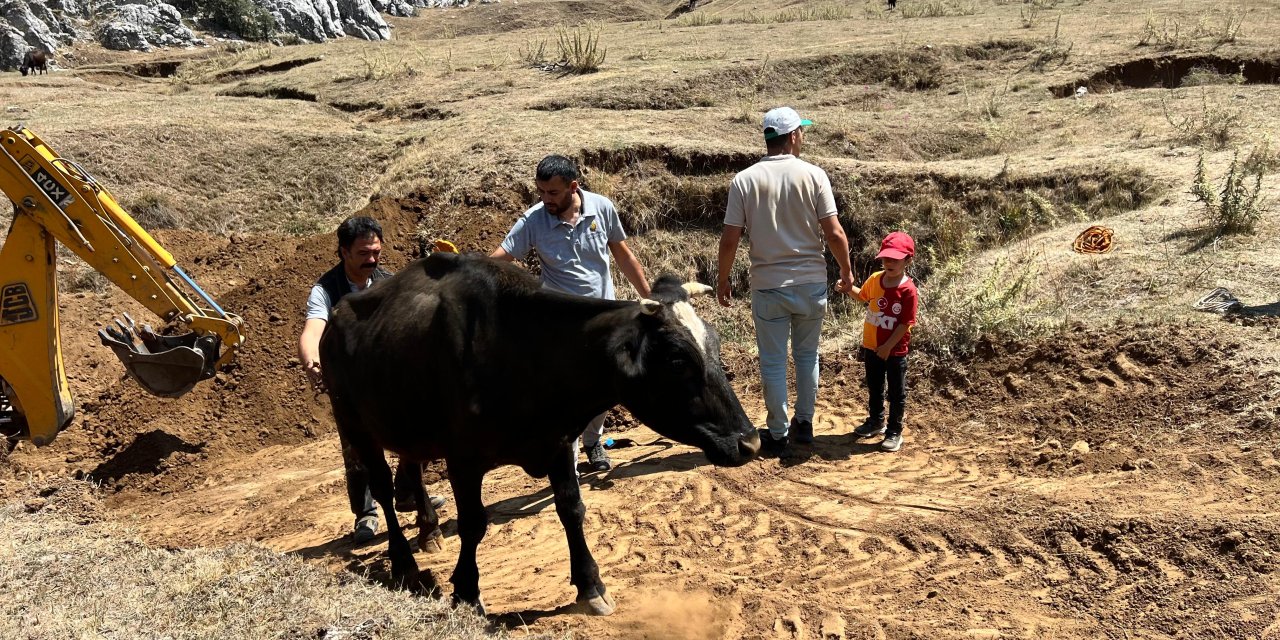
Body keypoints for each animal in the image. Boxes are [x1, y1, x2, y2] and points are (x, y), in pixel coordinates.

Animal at [320, 252, 757, 616]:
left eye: (715, 344)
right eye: (677, 359)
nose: (750, 442)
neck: (526, 351)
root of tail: (336, 315)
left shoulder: (558, 443)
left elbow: (572, 509)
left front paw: (590, 585)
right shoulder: (464, 460)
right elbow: (474, 523)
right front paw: (467, 592)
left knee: (411, 466)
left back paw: (429, 530)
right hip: (354, 425)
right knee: (381, 488)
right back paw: (403, 562)